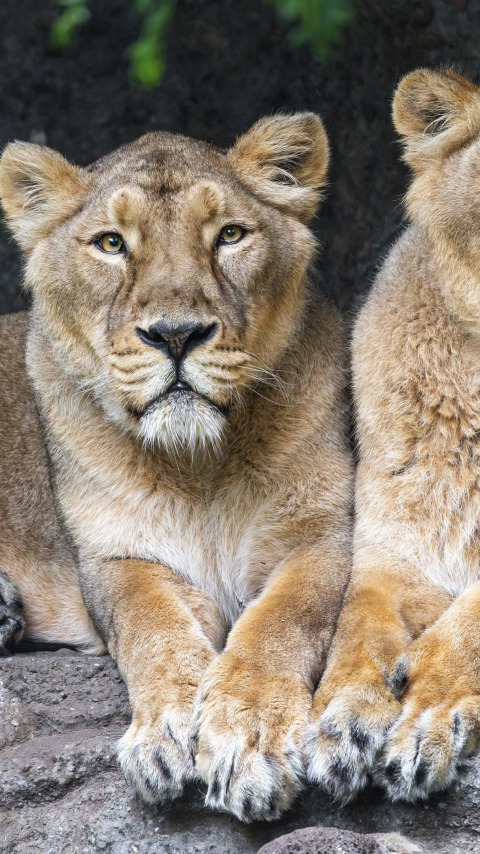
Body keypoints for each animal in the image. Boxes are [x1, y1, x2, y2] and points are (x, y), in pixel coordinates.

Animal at [0, 114, 352, 821]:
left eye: (230, 235)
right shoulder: (118, 557)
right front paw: (169, 729)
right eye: (110, 243)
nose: (176, 334)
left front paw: (248, 734)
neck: (201, 466)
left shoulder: (323, 537)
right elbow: (153, 629)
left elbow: (282, 622)